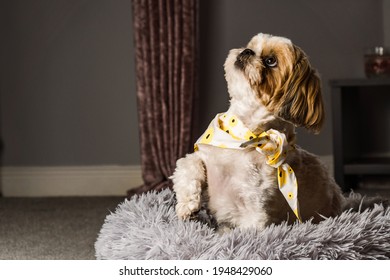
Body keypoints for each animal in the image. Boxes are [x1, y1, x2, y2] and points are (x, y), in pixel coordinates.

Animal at [171, 32, 356, 230]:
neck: (243, 133)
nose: (247, 51)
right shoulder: (204, 156)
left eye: (270, 61)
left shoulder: (253, 211)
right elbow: (188, 165)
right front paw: (187, 206)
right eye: (250, 46)